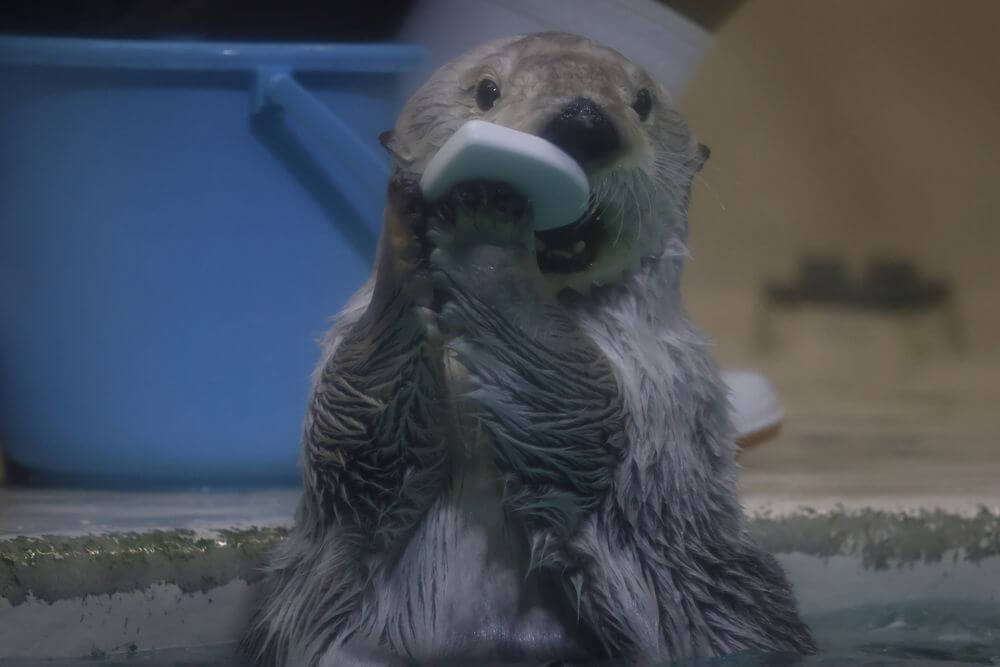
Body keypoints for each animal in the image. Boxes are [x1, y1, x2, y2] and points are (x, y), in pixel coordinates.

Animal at [240, 32, 812, 667]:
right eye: (487, 90)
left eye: (641, 102)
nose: (585, 122)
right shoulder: (344, 377)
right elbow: (359, 448)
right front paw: (412, 229)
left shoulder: (659, 379)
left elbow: (583, 420)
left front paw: (486, 237)